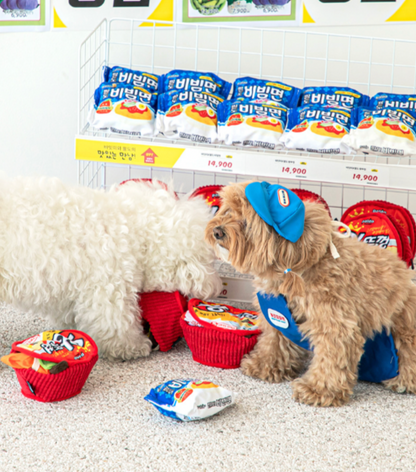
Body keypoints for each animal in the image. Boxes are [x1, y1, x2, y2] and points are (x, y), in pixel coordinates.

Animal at [0, 176, 221, 358]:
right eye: (209, 260)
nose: (216, 288)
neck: (132, 227)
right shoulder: (109, 286)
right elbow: (117, 323)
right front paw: (133, 346)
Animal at [203, 181, 416, 406]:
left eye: (246, 220)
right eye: (228, 211)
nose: (217, 231)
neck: (294, 267)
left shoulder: (334, 324)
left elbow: (331, 359)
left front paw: (318, 389)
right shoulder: (277, 314)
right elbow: (275, 341)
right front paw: (266, 365)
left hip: (404, 328)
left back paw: (404, 380)